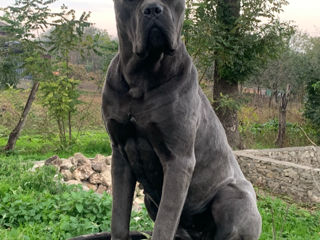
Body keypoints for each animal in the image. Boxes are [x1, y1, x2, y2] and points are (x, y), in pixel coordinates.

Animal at [101, 0, 262, 240]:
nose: (153, 9)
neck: (142, 77)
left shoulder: (178, 159)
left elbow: (164, 223)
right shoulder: (120, 154)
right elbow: (118, 219)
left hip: (232, 197)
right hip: (149, 199)